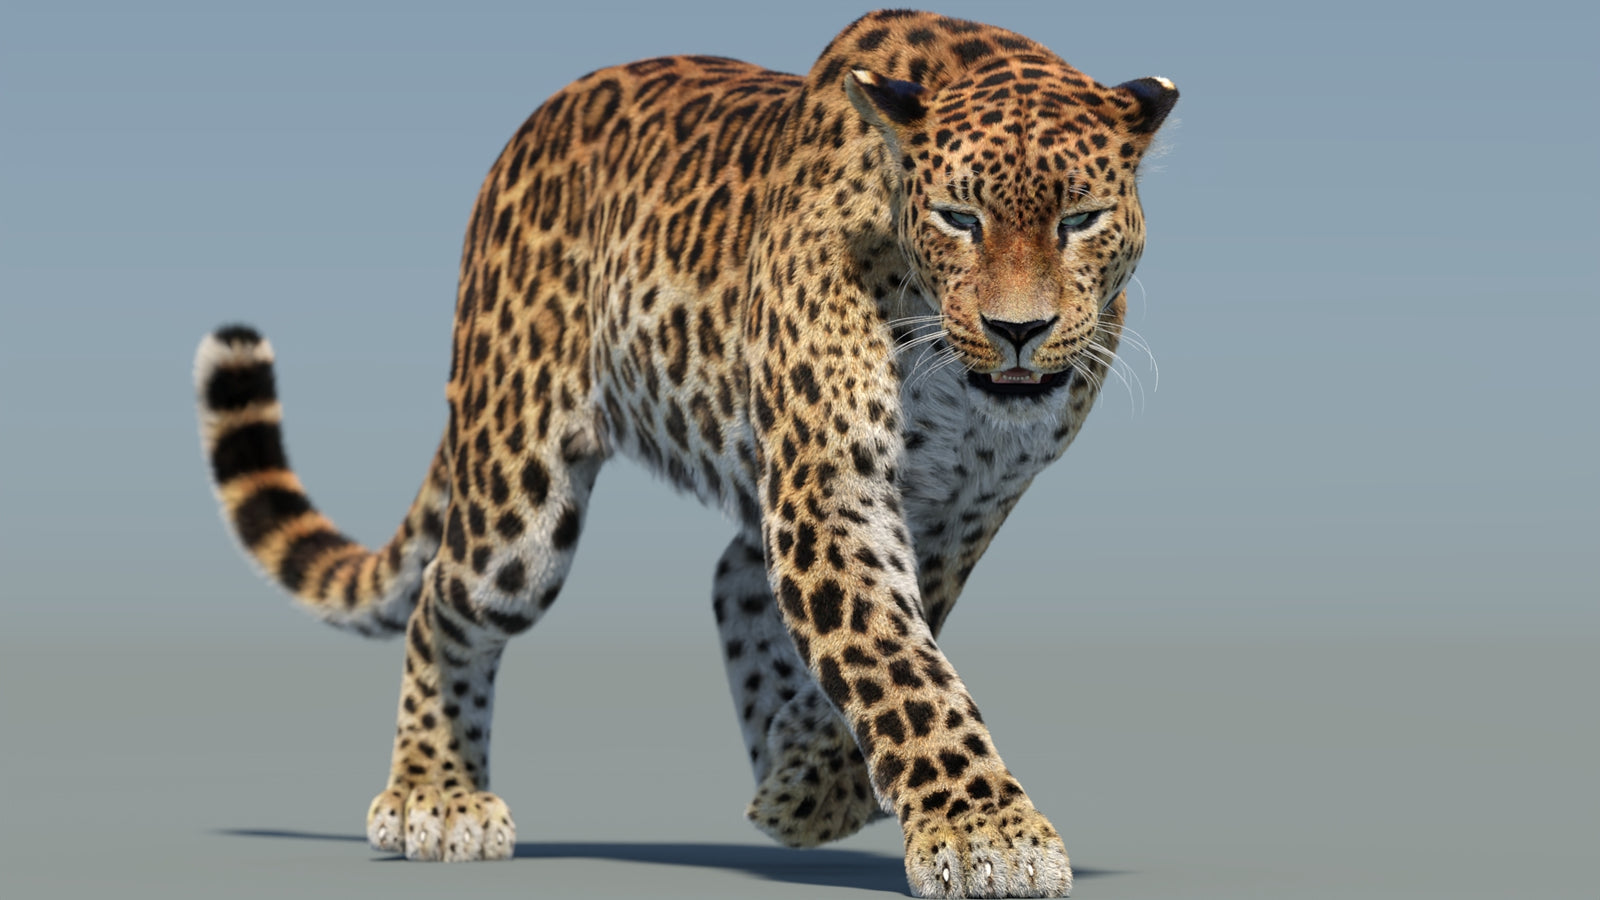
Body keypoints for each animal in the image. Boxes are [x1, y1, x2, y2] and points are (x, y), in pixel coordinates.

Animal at [193, 10, 1176, 898]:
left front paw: (818, 783)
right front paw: (987, 834)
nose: (1019, 331)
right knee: (445, 598)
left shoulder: (957, 511)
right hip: (520, 495)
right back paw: (436, 797)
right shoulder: (833, 490)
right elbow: (895, 662)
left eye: (1082, 218)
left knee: (733, 577)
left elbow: (896, 640)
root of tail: (524, 133)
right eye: (957, 217)